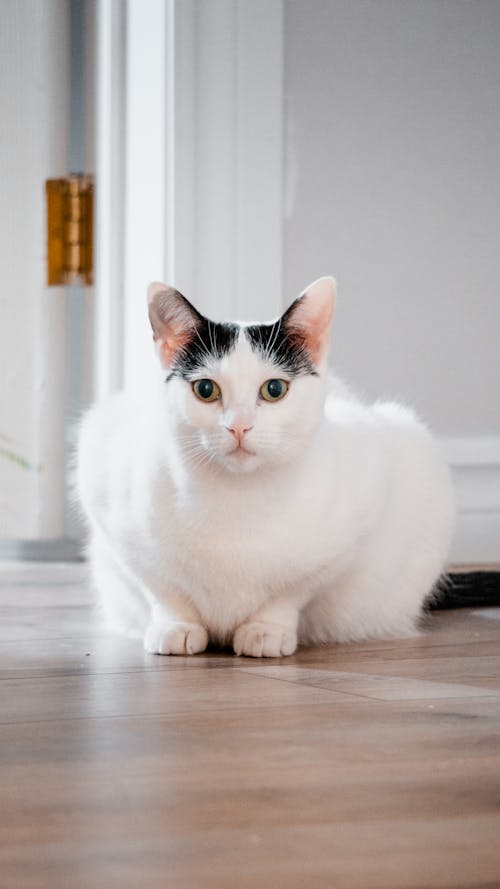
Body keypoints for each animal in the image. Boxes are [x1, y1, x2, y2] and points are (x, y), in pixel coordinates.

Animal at [77, 278, 454, 660]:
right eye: (205, 389)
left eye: (274, 389)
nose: (239, 427)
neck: (237, 501)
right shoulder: (107, 493)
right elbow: (161, 586)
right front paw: (176, 625)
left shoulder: (355, 518)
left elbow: (293, 590)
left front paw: (266, 629)